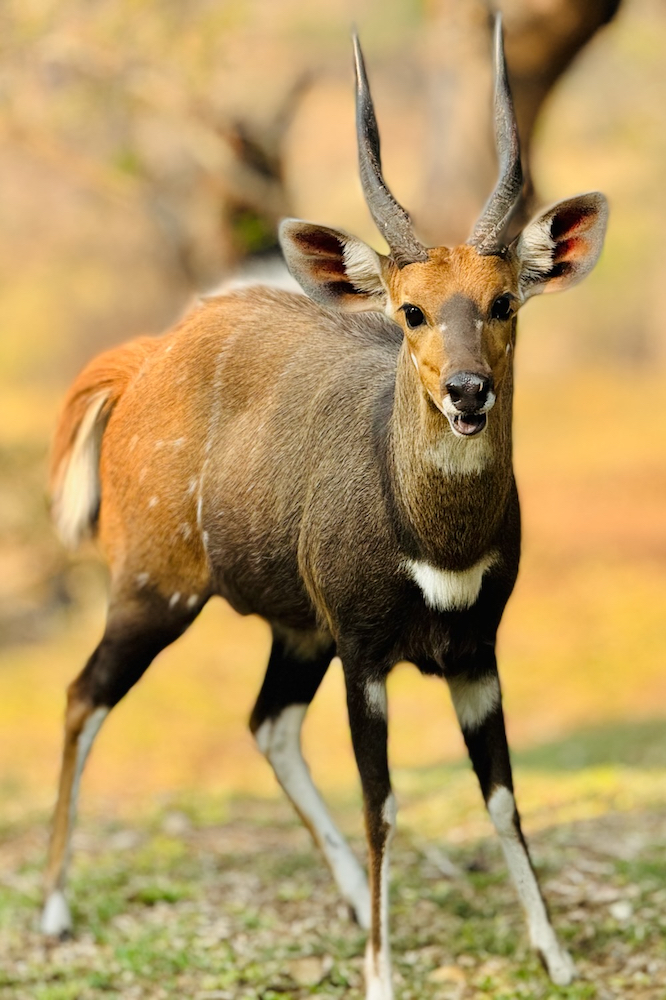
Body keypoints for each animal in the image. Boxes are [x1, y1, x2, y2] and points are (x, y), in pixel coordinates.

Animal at [41, 17, 604, 1000]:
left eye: (503, 301)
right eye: (411, 310)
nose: (468, 393)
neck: (433, 542)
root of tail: (145, 359)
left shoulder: (475, 655)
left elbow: (503, 797)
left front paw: (557, 955)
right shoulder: (363, 653)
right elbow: (385, 803)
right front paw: (381, 974)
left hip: (291, 629)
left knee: (266, 722)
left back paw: (344, 898)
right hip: (152, 592)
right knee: (83, 695)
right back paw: (54, 913)